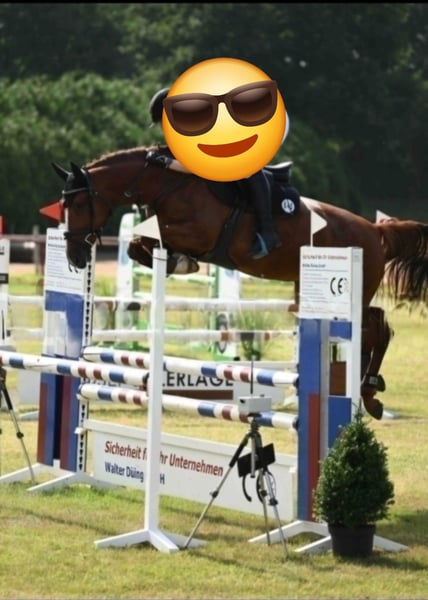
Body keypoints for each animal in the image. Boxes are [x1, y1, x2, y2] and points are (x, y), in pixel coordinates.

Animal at [51, 144, 428, 420]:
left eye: (80, 203)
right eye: (63, 205)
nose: (75, 256)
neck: (167, 184)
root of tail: (375, 230)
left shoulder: (199, 234)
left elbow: (151, 242)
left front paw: (181, 262)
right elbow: (138, 245)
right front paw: (174, 262)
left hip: (353, 292)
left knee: (378, 330)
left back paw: (370, 394)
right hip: (323, 294)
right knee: (375, 324)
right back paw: (367, 393)